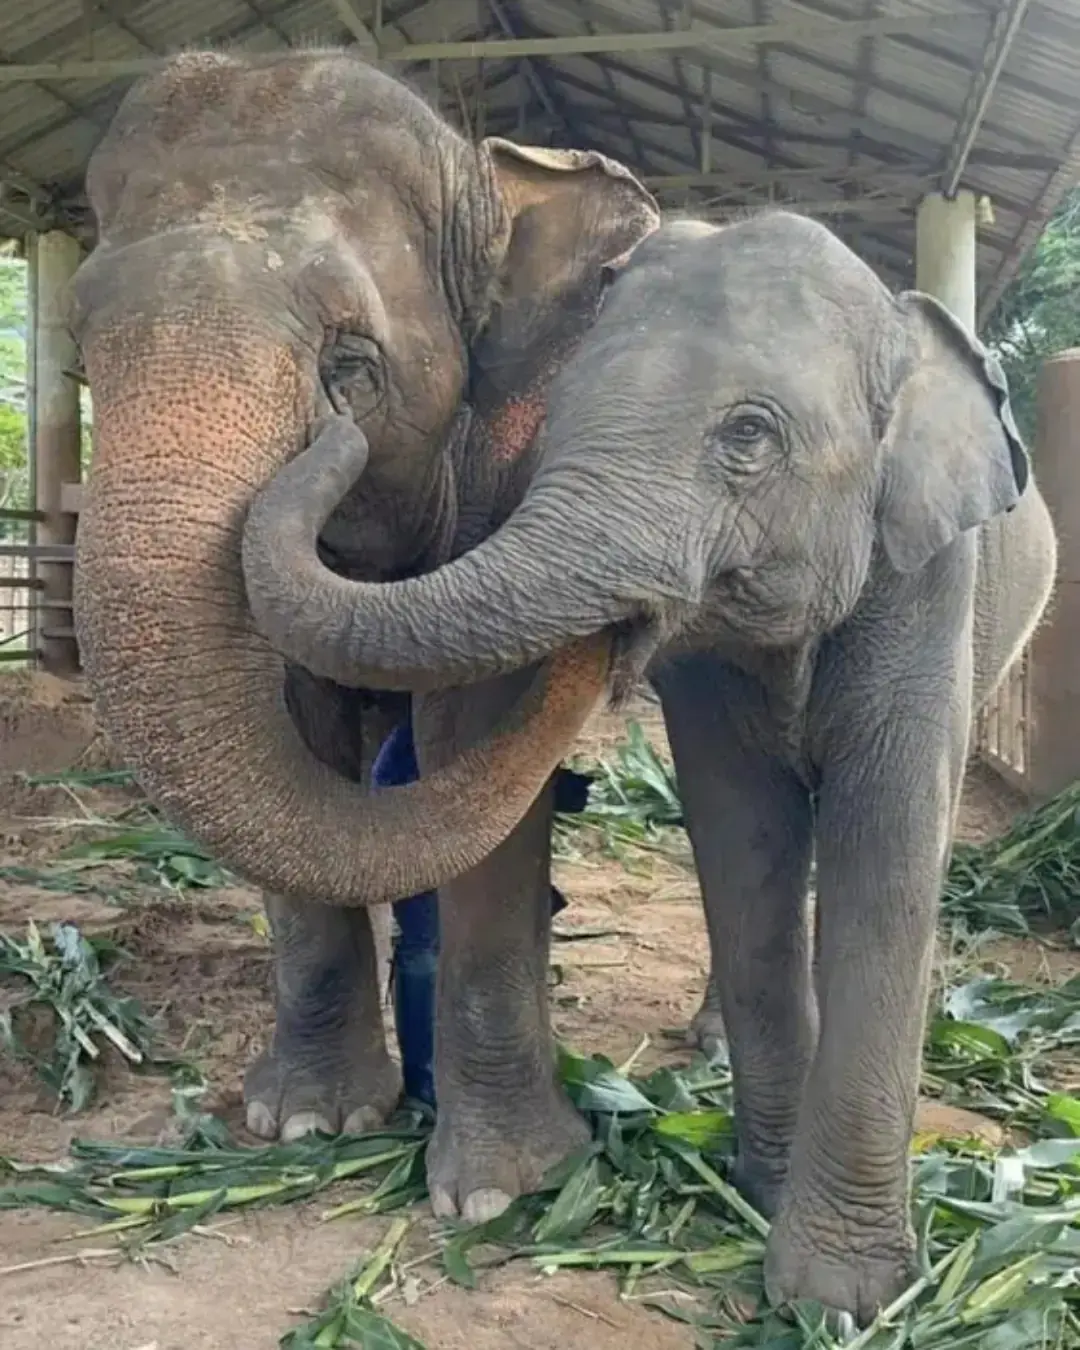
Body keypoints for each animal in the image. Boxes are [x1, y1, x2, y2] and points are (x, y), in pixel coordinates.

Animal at [69, 48, 660, 1199]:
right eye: (77, 341)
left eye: (351, 362)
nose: (622, 624)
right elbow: (299, 735)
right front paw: (306, 1120)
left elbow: (475, 734)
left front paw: (507, 1186)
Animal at [239, 212, 1058, 1323]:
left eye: (748, 435)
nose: (335, 387)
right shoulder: (713, 669)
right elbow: (743, 835)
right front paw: (763, 1196)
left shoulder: (931, 585)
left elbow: (887, 855)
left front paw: (841, 1304)